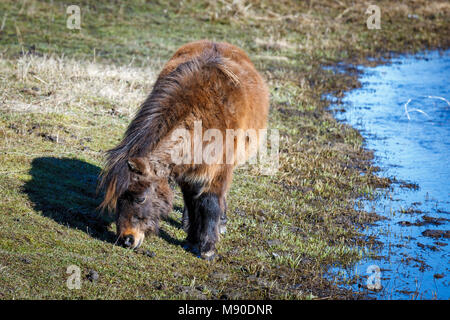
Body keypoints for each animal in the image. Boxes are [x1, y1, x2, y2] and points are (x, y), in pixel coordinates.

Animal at [98, 40, 268, 260]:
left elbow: (210, 203)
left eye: (140, 197)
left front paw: (207, 248)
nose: (127, 239)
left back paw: (220, 224)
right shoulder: (188, 173)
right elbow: (193, 204)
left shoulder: (216, 171)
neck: (201, 115)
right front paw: (192, 240)